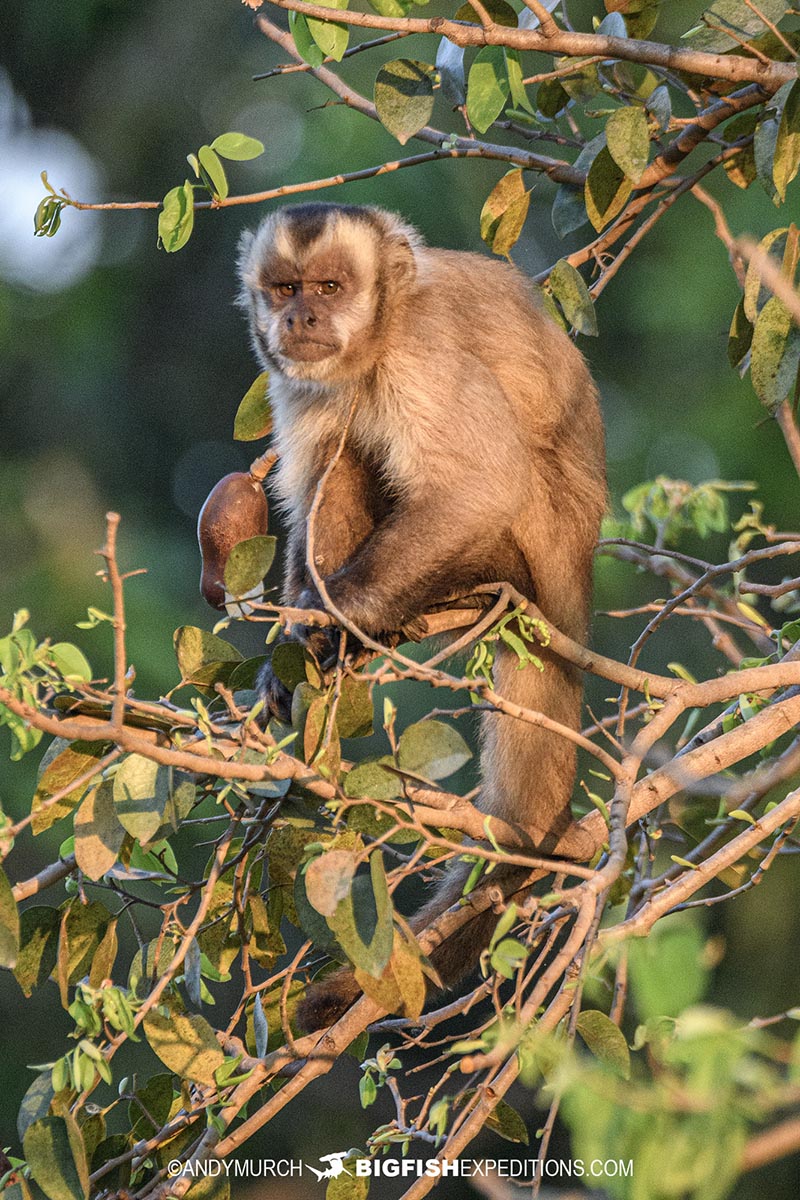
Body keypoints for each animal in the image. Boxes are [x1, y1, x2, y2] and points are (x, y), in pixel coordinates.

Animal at [239, 201, 606, 1027]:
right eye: (283, 289)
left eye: (332, 287)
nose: (302, 316)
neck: (382, 336)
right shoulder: (301, 381)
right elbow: (314, 484)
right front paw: (300, 644)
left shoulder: (424, 354)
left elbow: (478, 486)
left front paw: (327, 629)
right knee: (344, 453)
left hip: (539, 547)